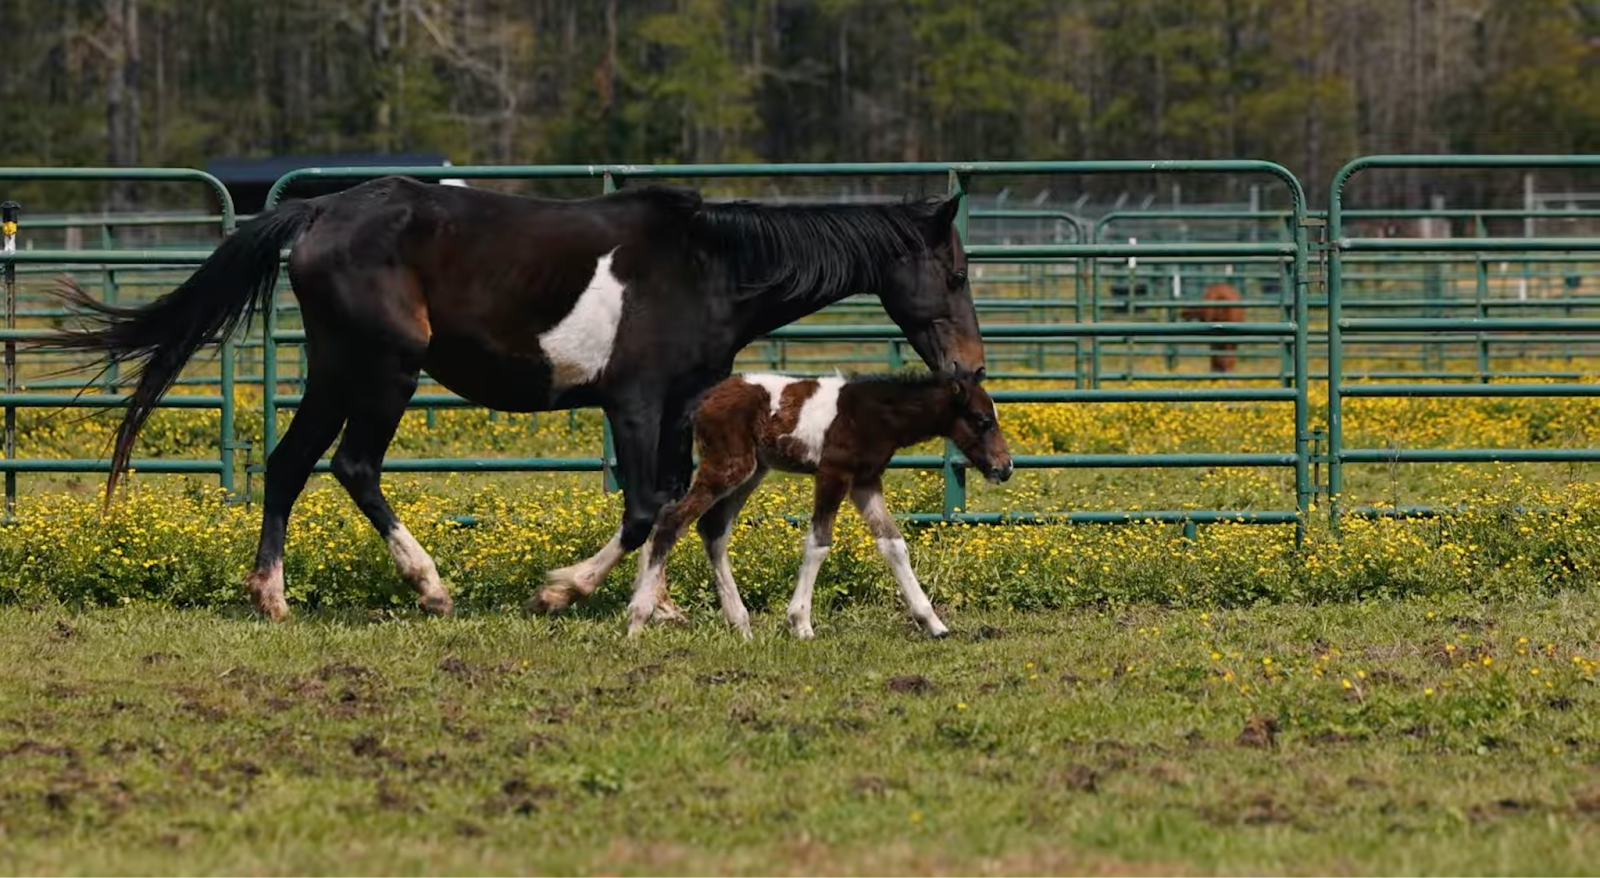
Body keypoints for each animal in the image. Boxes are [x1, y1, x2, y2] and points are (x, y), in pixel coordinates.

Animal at [36, 175, 987, 622]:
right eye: (955, 272)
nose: (970, 366)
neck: (710, 266)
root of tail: (317, 215)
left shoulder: (681, 408)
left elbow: (677, 508)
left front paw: (659, 602)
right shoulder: (633, 402)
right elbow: (646, 506)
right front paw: (563, 591)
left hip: (336, 371)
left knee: (288, 464)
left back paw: (271, 595)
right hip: (384, 371)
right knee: (352, 466)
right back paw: (429, 587)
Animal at [624, 369, 1012, 639]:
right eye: (982, 421)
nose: (1004, 467)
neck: (873, 414)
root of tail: (704, 402)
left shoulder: (866, 481)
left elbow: (893, 543)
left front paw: (933, 623)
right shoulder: (833, 473)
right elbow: (819, 542)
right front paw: (800, 623)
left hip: (752, 471)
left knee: (712, 527)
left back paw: (741, 624)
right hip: (727, 466)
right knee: (672, 520)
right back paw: (638, 619)